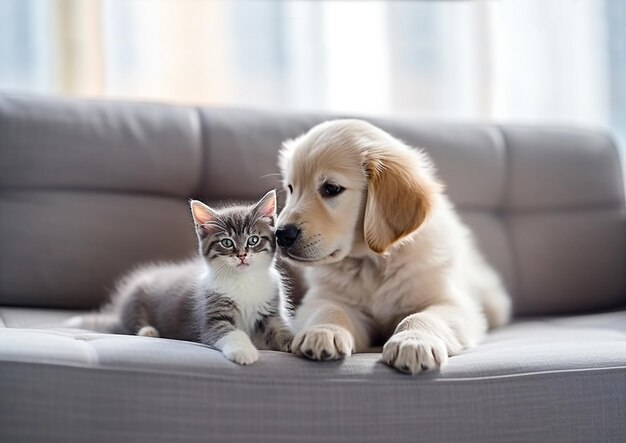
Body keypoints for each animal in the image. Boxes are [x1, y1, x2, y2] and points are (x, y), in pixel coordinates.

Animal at [68, 189, 292, 366]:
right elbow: (226, 330)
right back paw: (148, 331)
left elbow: (281, 330)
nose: (242, 255)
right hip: (135, 295)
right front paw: (244, 351)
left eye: (253, 240)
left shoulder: (271, 310)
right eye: (227, 242)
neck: (243, 280)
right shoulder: (211, 312)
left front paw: (296, 342)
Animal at [276, 119, 510, 374]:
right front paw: (323, 332)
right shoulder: (324, 297)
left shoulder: (450, 301)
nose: (281, 234)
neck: (373, 262)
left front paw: (414, 342)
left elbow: (423, 316)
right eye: (291, 188)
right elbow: (329, 309)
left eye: (331, 189)